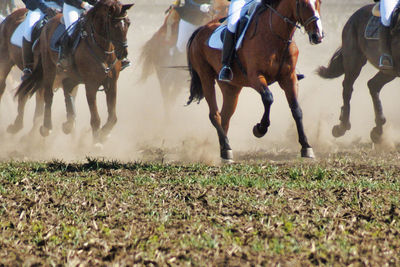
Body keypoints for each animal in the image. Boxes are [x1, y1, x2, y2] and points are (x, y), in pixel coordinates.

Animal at [15, 0, 133, 146]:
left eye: (128, 23)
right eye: (114, 25)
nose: (123, 53)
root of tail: (48, 23)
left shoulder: (111, 84)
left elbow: (113, 117)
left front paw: (104, 135)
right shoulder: (91, 85)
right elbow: (95, 118)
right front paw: (96, 143)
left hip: (70, 76)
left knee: (67, 90)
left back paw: (68, 124)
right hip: (49, 68)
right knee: (48, 95)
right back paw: (46, 128)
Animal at [188, 0, 324, 162]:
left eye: (319, 2)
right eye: (302, 4)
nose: (318, 36)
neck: (275, 35)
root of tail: (200, 30)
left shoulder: (289, 78)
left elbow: (296, 110)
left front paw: (306, 146)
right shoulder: (255, 77)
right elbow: (268, 98)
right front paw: (260, 128)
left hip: (231, 88)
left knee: (224, 117)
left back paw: (225, 150)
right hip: (206, 77)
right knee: (214, 115)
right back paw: (226, 149)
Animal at [318, 4, 400, 143]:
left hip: (389, 71)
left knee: (373, 85)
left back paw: (377, 130)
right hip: (354, 60)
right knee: (347, 88)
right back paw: (342, 126)